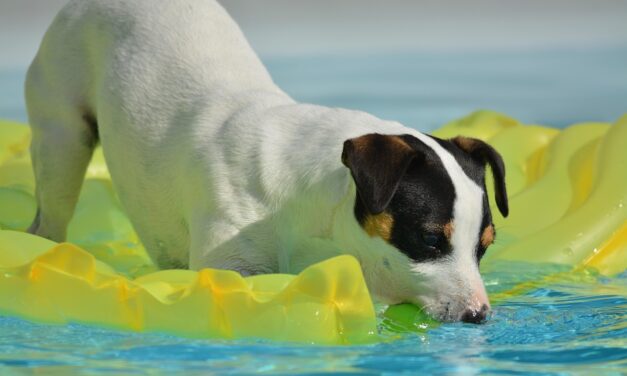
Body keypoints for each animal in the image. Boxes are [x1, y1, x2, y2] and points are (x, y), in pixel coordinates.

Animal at [25, 0, 510, 324]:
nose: (478, 315)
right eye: (429, 239)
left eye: (485, 245)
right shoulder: (231, 265)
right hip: (62, 140)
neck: (302, 202)